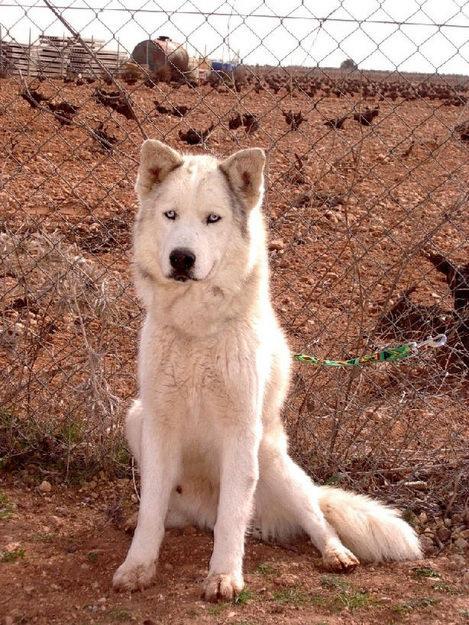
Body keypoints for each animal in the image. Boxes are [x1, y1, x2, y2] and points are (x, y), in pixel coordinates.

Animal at [112, 140, 420, 600]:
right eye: (170, 215)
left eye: (213, 219)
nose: (182, 258)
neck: (197, 329)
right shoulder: (160, 422)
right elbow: (151, 508)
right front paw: (138, 566)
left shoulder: (241, 428)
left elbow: (233, 517)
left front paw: (224, 576)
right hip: (137, 419)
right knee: (173, 509)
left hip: (271, 458)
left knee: (316, 518)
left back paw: (337, 554)